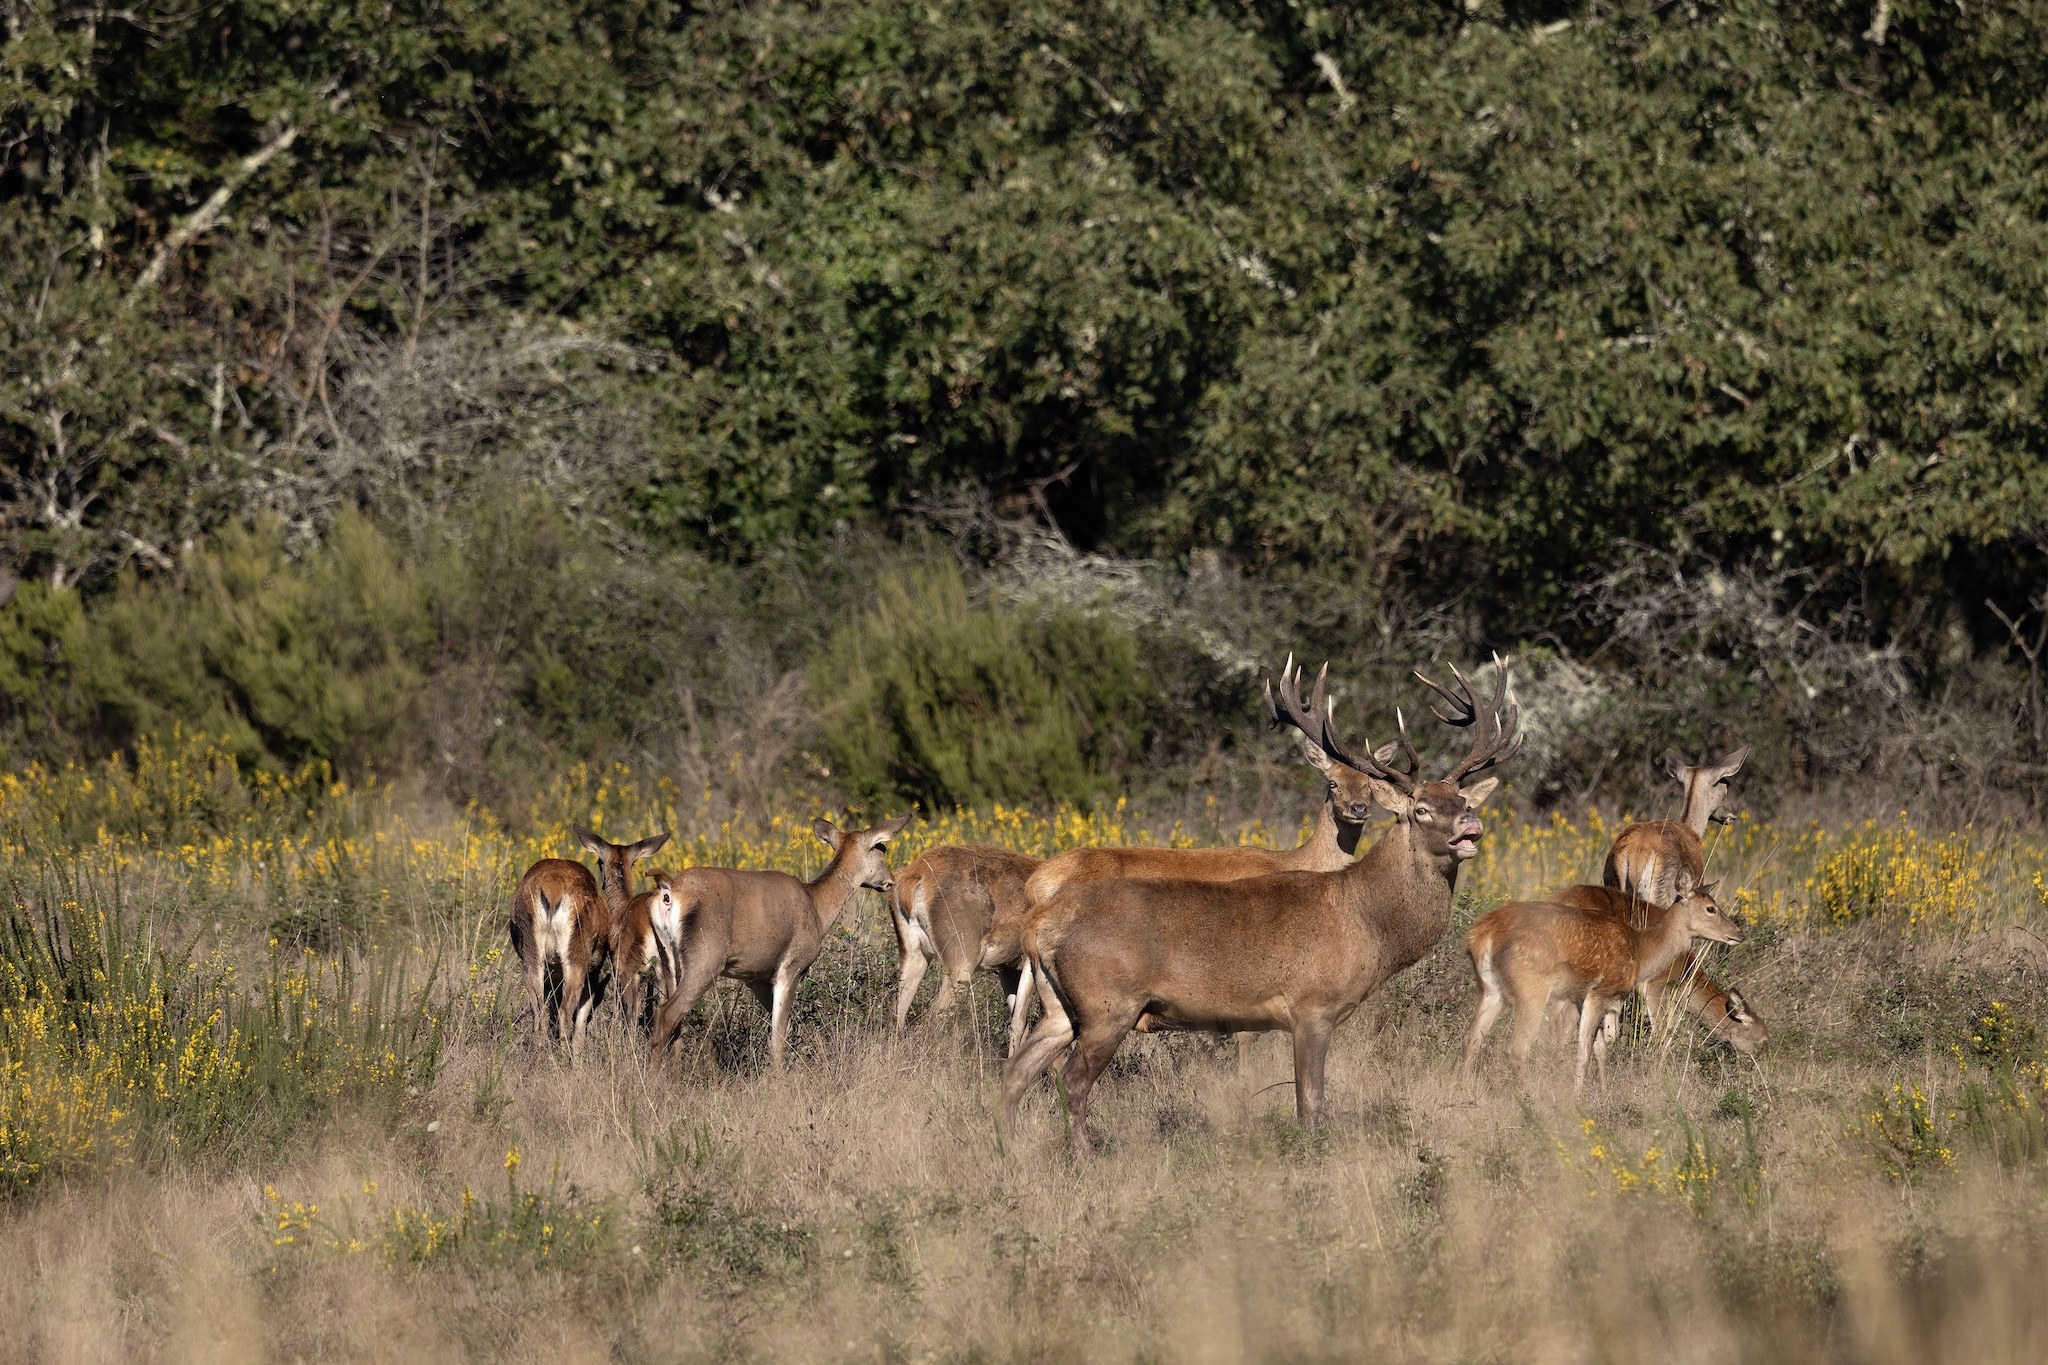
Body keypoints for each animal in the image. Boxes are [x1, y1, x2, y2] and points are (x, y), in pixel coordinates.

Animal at [646, 813, 912, 1075]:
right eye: (881, 848)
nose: (890, 880)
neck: (817, 908)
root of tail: (669, 891)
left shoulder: (756, 977)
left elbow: (783, 1026)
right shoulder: (793, 965)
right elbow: (779, 1033)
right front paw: (776, 1079)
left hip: (667, 958)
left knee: (673, 1021)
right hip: (706, 956)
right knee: (667, 1014)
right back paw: (655, 1080)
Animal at [889, 844, 1041, 1034]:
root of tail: (914, 874)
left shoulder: (1007, 968)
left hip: (913, 953)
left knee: (898, 1011)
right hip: (962, 960)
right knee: (933, 1015)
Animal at [1000, 655, 1521, 1154]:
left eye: (1463, 802)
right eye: (1421, 810)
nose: (1470, 827)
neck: (1369, 923)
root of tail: (1039, 923)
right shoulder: (1311, 1006)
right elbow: (1310, 1102)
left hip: (1059, 1007)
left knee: (1015, 1072)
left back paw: (1006, 1147)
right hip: (1109, 1002)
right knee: (1070, 1078)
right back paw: (1085, 1155)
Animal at [1460, 883, 1744, 1094]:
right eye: (1711, 908)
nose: (1738, 933)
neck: (1640, 952)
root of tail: (1484, 934)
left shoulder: (1581, 996)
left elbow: (1600, 1047)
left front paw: (1604, 1092)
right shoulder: (1600, 991)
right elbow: (1584, 1049)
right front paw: (1577, 1097)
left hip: (1490, 989)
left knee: (1472, 1038)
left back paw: (1465, 1088)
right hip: (1532, 988)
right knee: (1518, 1047)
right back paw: (1532, 1097)